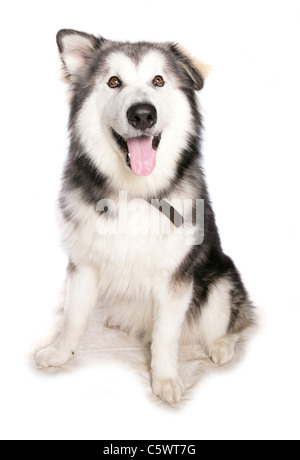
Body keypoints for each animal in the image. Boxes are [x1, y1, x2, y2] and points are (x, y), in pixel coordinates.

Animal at [35, 29, 255, 402]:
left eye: (158, 80)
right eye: (113, 81)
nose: (142, 114)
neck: (135, 193)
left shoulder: (176, 277)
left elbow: (166, 336)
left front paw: (164, 379)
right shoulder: (84, 264)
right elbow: (73, 317)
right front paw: (61, 352)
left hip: (220, 284)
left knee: (237, 321)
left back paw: (222, 346)